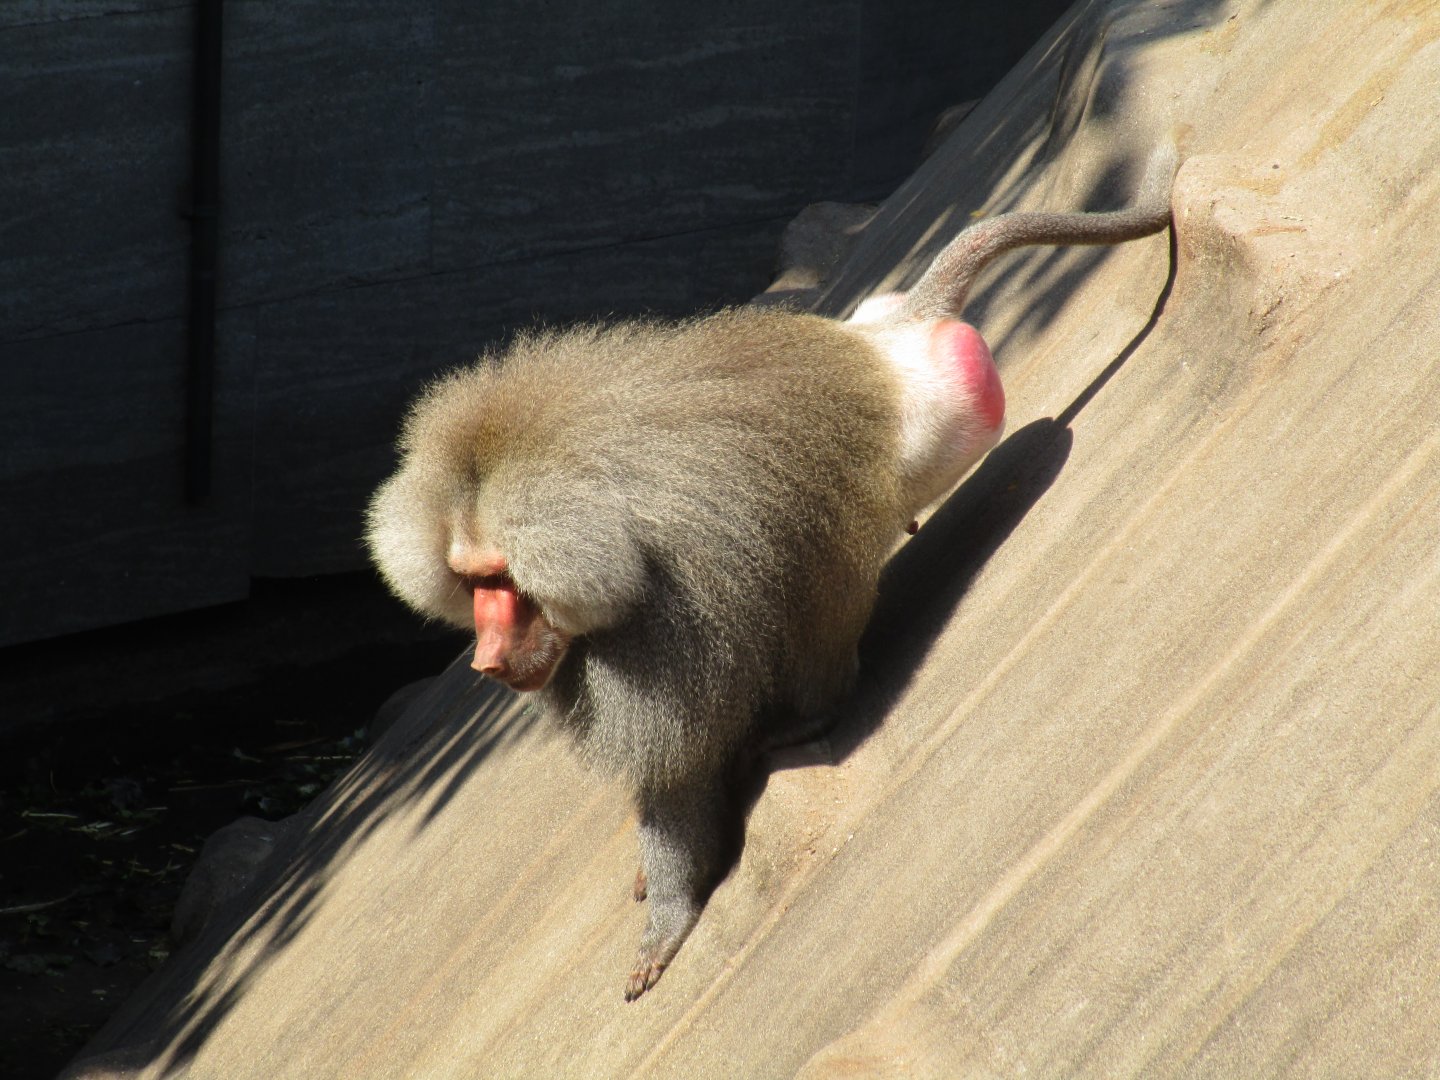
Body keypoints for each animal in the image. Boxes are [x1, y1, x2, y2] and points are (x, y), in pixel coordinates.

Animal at [365, 140, 1177, 1001]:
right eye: (471, 583)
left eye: (503, 581)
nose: (485, 661)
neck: (609, 520)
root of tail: (891, 340)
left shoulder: (668, 632)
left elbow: (676, 771)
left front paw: (668, 919)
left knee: (822, 587)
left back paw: (810, 715)